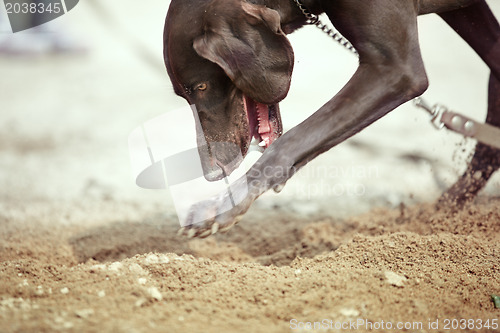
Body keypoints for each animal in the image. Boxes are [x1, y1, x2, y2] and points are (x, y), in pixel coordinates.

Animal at [164, 0, 500, 236]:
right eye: (184, 94)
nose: (211, 173)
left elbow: (291, 141)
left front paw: (224, 205)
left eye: (201, 87)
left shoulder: (396, 70)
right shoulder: (467, 11)